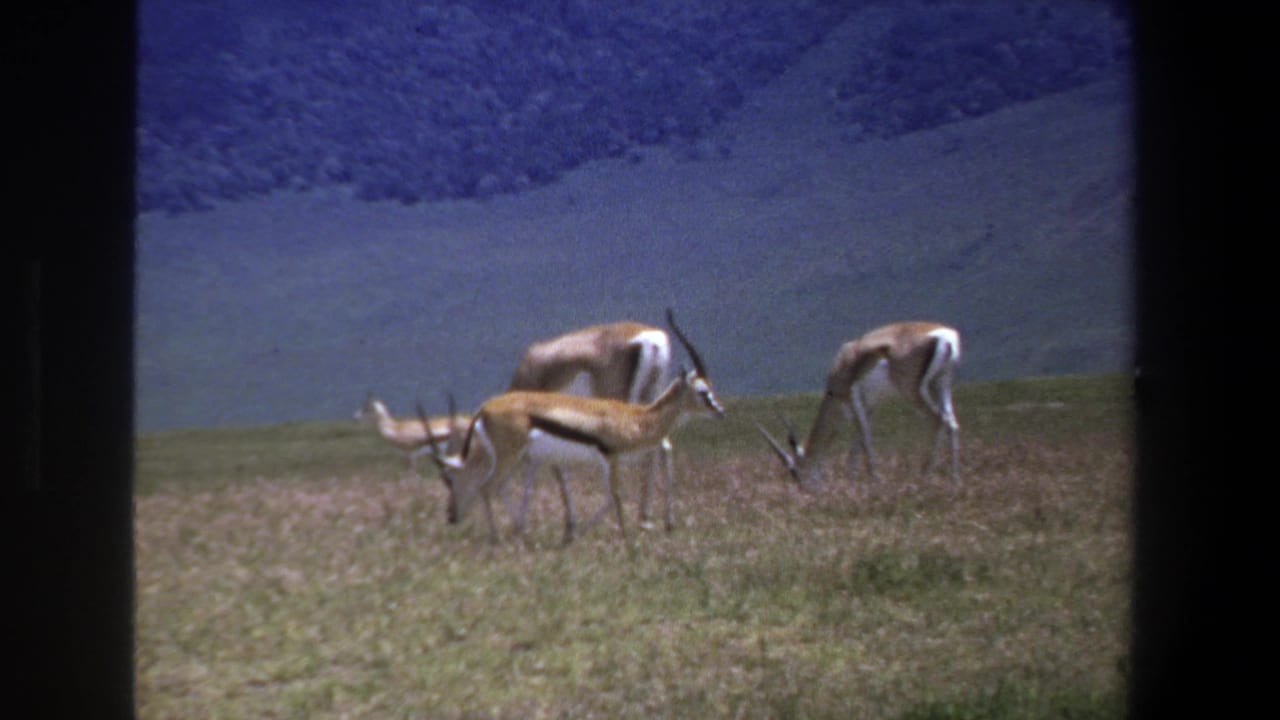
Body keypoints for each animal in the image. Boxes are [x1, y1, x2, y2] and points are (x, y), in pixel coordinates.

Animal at [423, 309, 725, 544]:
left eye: (450, 478)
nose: (451, 515)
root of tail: (650, 338)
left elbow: (551, 469)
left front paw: (559, 527)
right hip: (647, 396)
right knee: (663, 446)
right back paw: (659, 521)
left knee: (655, 447)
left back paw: (646, 520)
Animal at [756, 322, 961, 488]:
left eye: (795, 471)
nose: (805, 491)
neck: (841, 363)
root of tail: (944, 336)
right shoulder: (868, 406)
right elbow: (856, 442)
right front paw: (852, 482)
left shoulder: (852, 398)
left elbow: (865, 438)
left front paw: (874, 481)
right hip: (941, 384)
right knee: (951, 423)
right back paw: (953, 481)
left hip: (912, 391)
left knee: (938, 420)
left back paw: (924, 477)